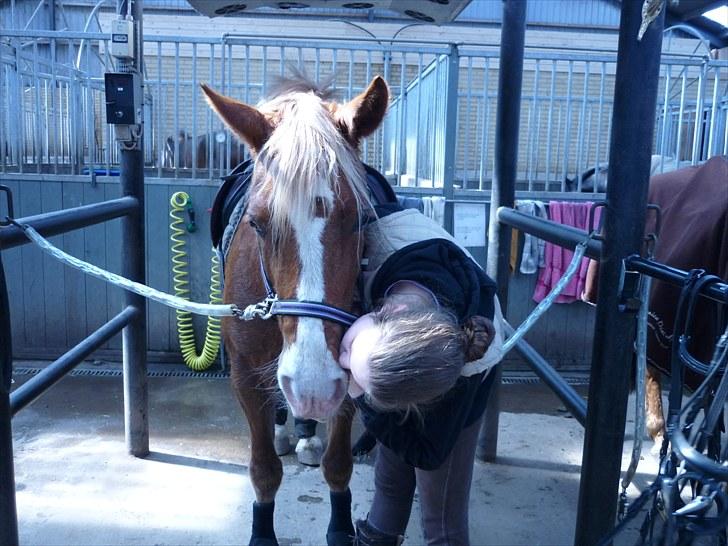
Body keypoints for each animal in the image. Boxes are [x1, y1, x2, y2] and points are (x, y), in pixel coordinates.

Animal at [201, 74, 389, 546]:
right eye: (256, 223)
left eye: (361, 220)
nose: (312, 384)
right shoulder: (245, 374)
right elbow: (264, 470)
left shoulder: (344, 374)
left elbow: (338, 467)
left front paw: (339, 529)